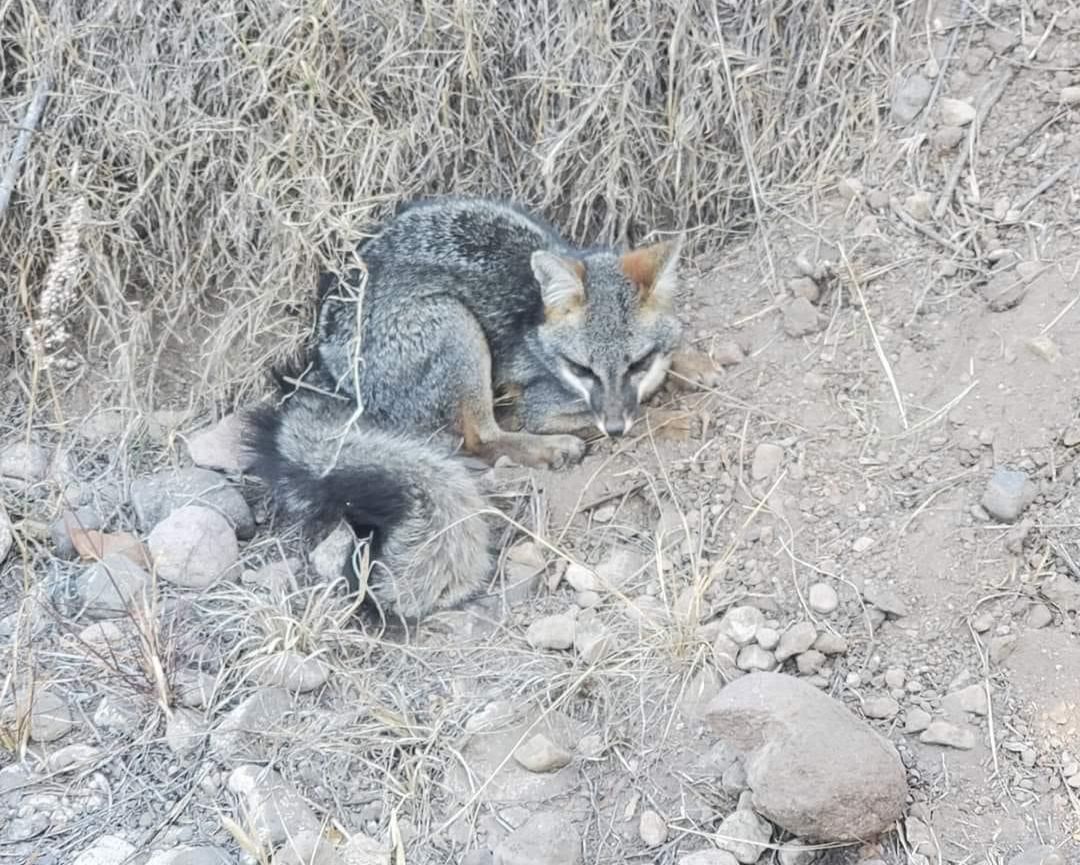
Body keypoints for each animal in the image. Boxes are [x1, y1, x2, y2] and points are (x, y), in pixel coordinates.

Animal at [248, 193, 712, 617]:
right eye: (584, 370)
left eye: (637, 363)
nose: (615, 429)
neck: (538, 325)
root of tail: (323, 372)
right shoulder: (541, 403)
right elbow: (637, 410)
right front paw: (671, 416)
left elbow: (664, 369)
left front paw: (694, 364)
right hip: (456, 325)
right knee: (479, 438)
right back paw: (548, 449)